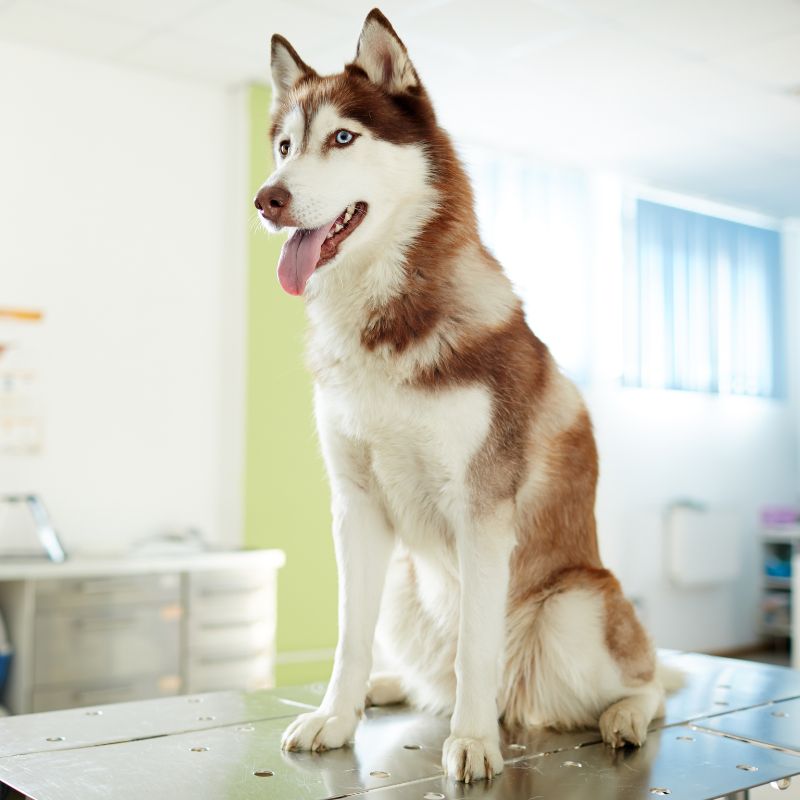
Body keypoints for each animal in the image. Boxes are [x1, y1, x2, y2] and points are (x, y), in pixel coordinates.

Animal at [256, 6, 668, 780]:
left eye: (343, 137)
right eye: (285, 146)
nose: (267, 199)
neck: (383, 324)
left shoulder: (482, 512)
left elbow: (478, 650)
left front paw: (474, 743)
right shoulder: (356, 508)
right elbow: (347, 638)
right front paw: (335, 714)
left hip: (572, 610)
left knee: (650, 681)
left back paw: (620, 716)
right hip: (402, 588)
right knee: (430, 677)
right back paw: (387, 688)